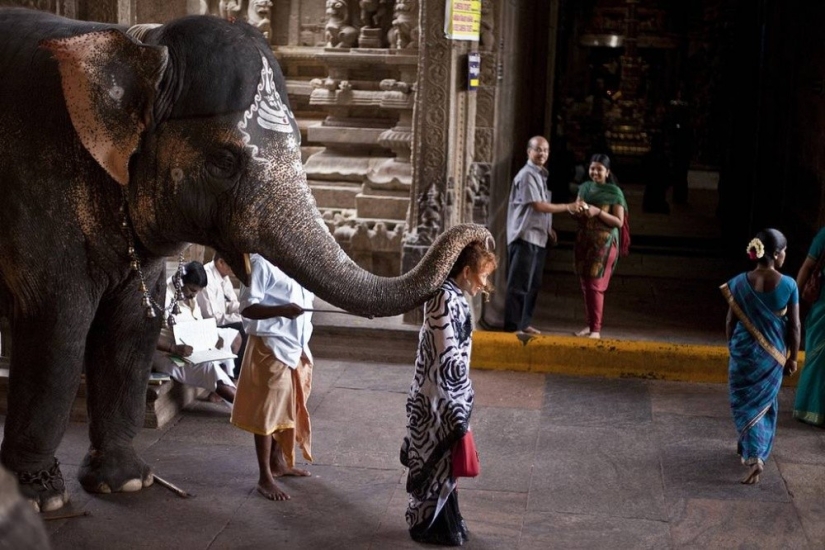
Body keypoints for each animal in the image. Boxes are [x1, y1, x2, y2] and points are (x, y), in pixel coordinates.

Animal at [0, 6, 490, 516]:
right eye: (223, 161)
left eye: (301, 147)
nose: (479, 238)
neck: (140, 43)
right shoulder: (38, 191)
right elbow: (59, 325)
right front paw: (43, 499)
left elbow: (133, 323)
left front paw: (127, 482)